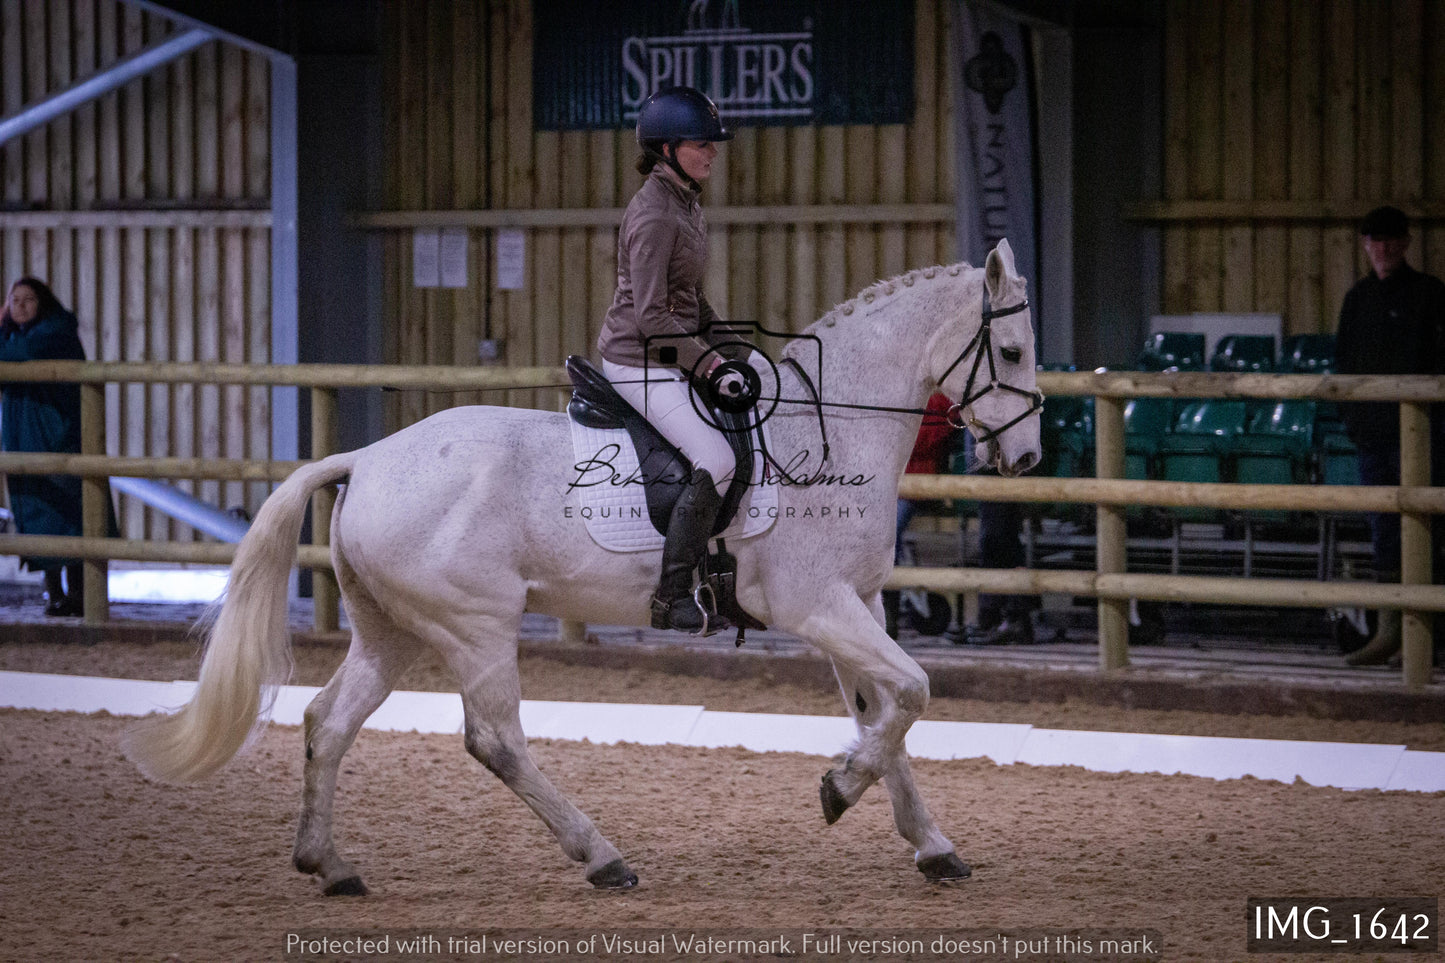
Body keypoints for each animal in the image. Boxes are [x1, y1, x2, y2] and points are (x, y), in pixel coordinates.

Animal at [124, 238, 1040, 890]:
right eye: (1014, 351)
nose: (1028, 457)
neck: (832, 425)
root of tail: (367, 459)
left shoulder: (857, 604)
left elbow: (887, 713)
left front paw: (930, 844)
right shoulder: (815, 605)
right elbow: (912, 694)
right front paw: (840, 788)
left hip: (391, 630)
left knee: (328, 722)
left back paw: (331, 864)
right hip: (476, 623)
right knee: (494, 738)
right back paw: (601, 855)